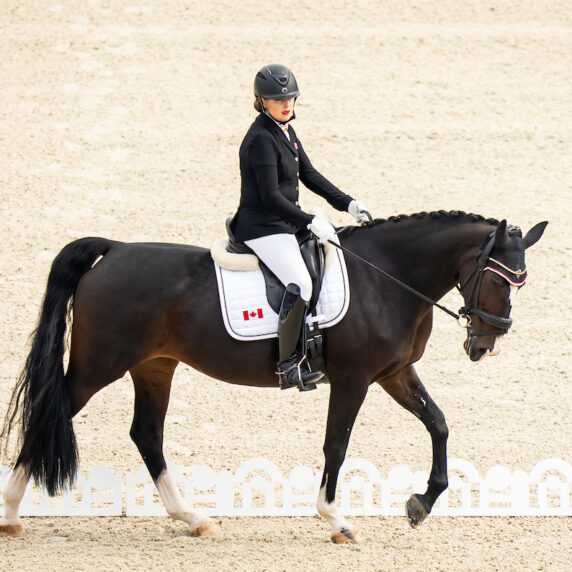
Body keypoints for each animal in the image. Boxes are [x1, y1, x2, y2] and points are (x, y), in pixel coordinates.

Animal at [0, 212, 544, 544]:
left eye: (521, 284)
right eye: (498, 279)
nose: (485, 345)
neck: (386, 277)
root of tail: (114, 250)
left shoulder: (394, 373)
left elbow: (439, 424)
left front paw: (420, 503)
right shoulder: (354, 380)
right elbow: (336, 445)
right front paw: (337, 520)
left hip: (154, 366)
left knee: (146, 434)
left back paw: (193, 519)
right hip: (99, 366)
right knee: (49, 412)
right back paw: (9, 515)